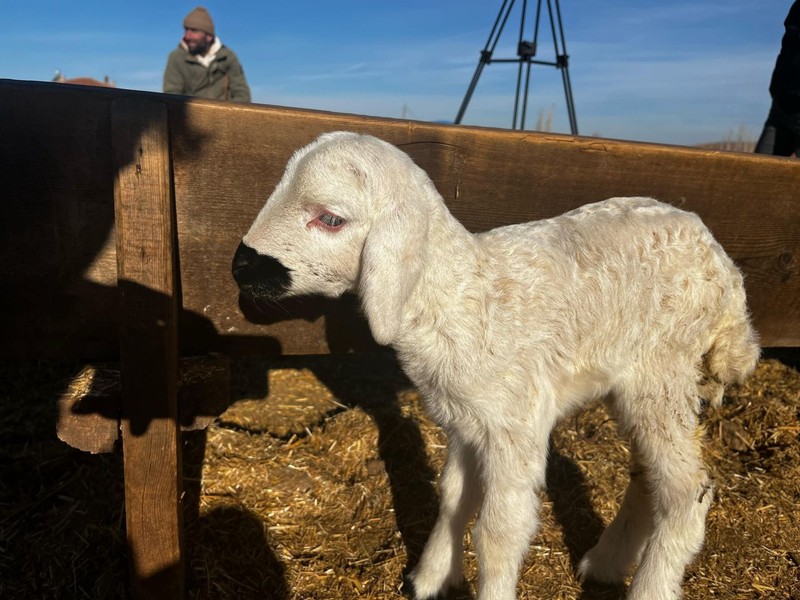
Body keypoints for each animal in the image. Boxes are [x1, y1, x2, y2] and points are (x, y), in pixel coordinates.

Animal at [230, 132, 756, 600]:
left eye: (331, 219)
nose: (240, 266)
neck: (459, 296)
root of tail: (723, 267)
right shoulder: (464, 422)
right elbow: (453, 499)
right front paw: (430, 579)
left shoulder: (515, 422)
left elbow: (499, 532)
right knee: (651, 475)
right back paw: (606, 564)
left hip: (663, 369)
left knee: (687, 491)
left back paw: (649, 585)